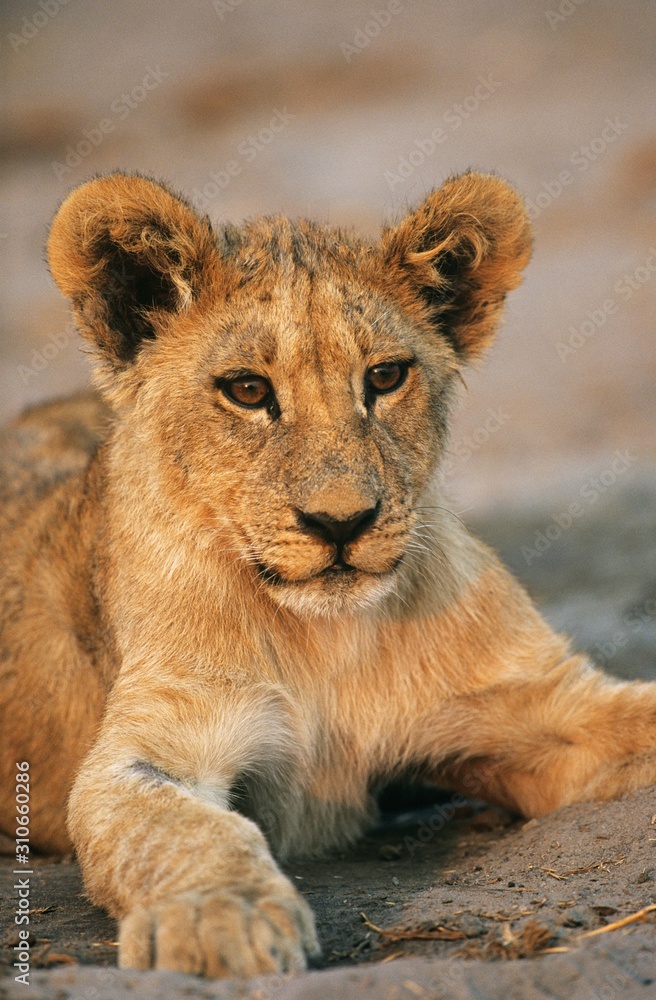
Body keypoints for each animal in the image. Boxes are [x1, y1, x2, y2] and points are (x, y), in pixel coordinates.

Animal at [1, 170, 655, 979]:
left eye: (385, 377)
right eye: (248, 390)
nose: (342, 523)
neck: (326, 638)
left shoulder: (545, 700)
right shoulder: (149, 744)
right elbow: (181, 826)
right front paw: (224, 918)